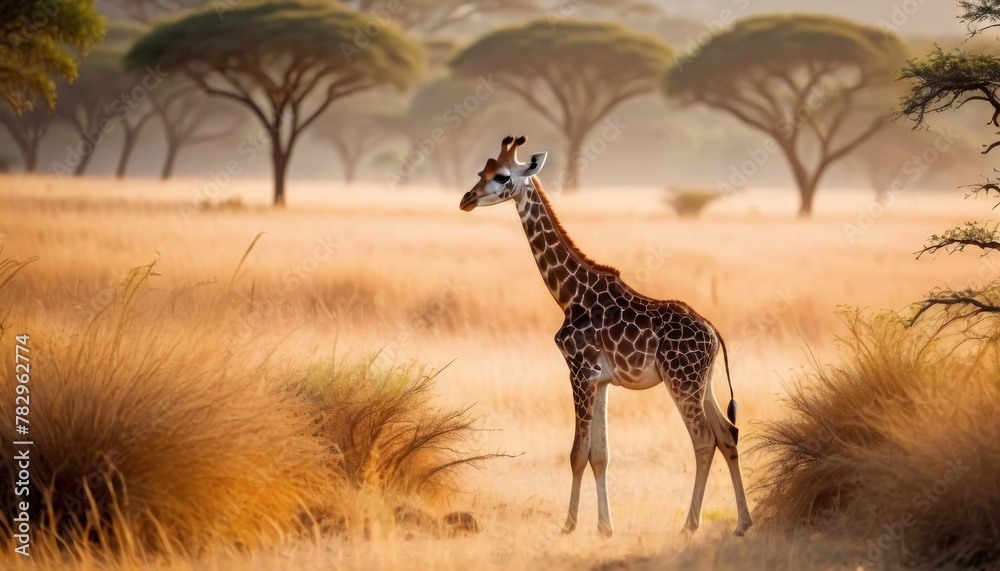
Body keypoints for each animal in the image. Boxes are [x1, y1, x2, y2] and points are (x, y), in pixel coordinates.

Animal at [459, 135, 753, 537]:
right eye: (480, 172)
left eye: (503, 176)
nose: (466, 199)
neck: (570, 295)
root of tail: (712, 331)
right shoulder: (601, 380)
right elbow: (599, 455)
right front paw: (604, 527)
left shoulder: (579, 371)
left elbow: (576, 454)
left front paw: (568, 526)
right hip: (703, 382)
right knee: (728, 433)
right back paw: (742, 523)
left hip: (681, 381)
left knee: (704, 440)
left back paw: (689, 526)